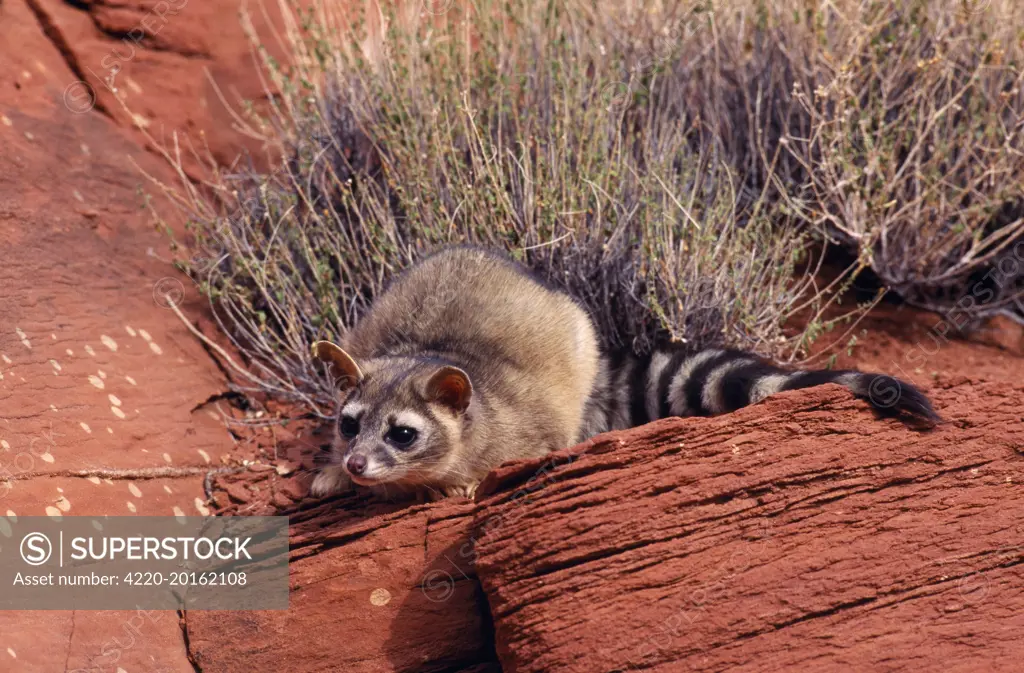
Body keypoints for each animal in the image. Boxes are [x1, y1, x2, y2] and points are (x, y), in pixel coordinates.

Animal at [309, 246, 937, 497]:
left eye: (403, 434)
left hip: (575, 339)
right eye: (348, 424)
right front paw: (333, 469)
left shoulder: (526, 428)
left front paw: (459, 481)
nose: (357, 463)